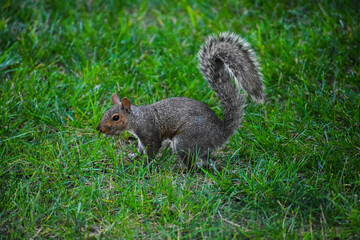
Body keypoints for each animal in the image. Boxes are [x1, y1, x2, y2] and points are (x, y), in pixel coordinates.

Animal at [97, 32, 266, 169]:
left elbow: (152, 150)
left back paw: (185, 169)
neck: (138, 118)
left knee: (191, 164)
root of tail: (221, 132)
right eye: (104, 113)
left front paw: (144, 166)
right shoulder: (140, 138)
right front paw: (133, 156)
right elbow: (140, 149)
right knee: (205, 158)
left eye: (116, 117)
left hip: (185, 141)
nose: (100, 129)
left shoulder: (150, 133)